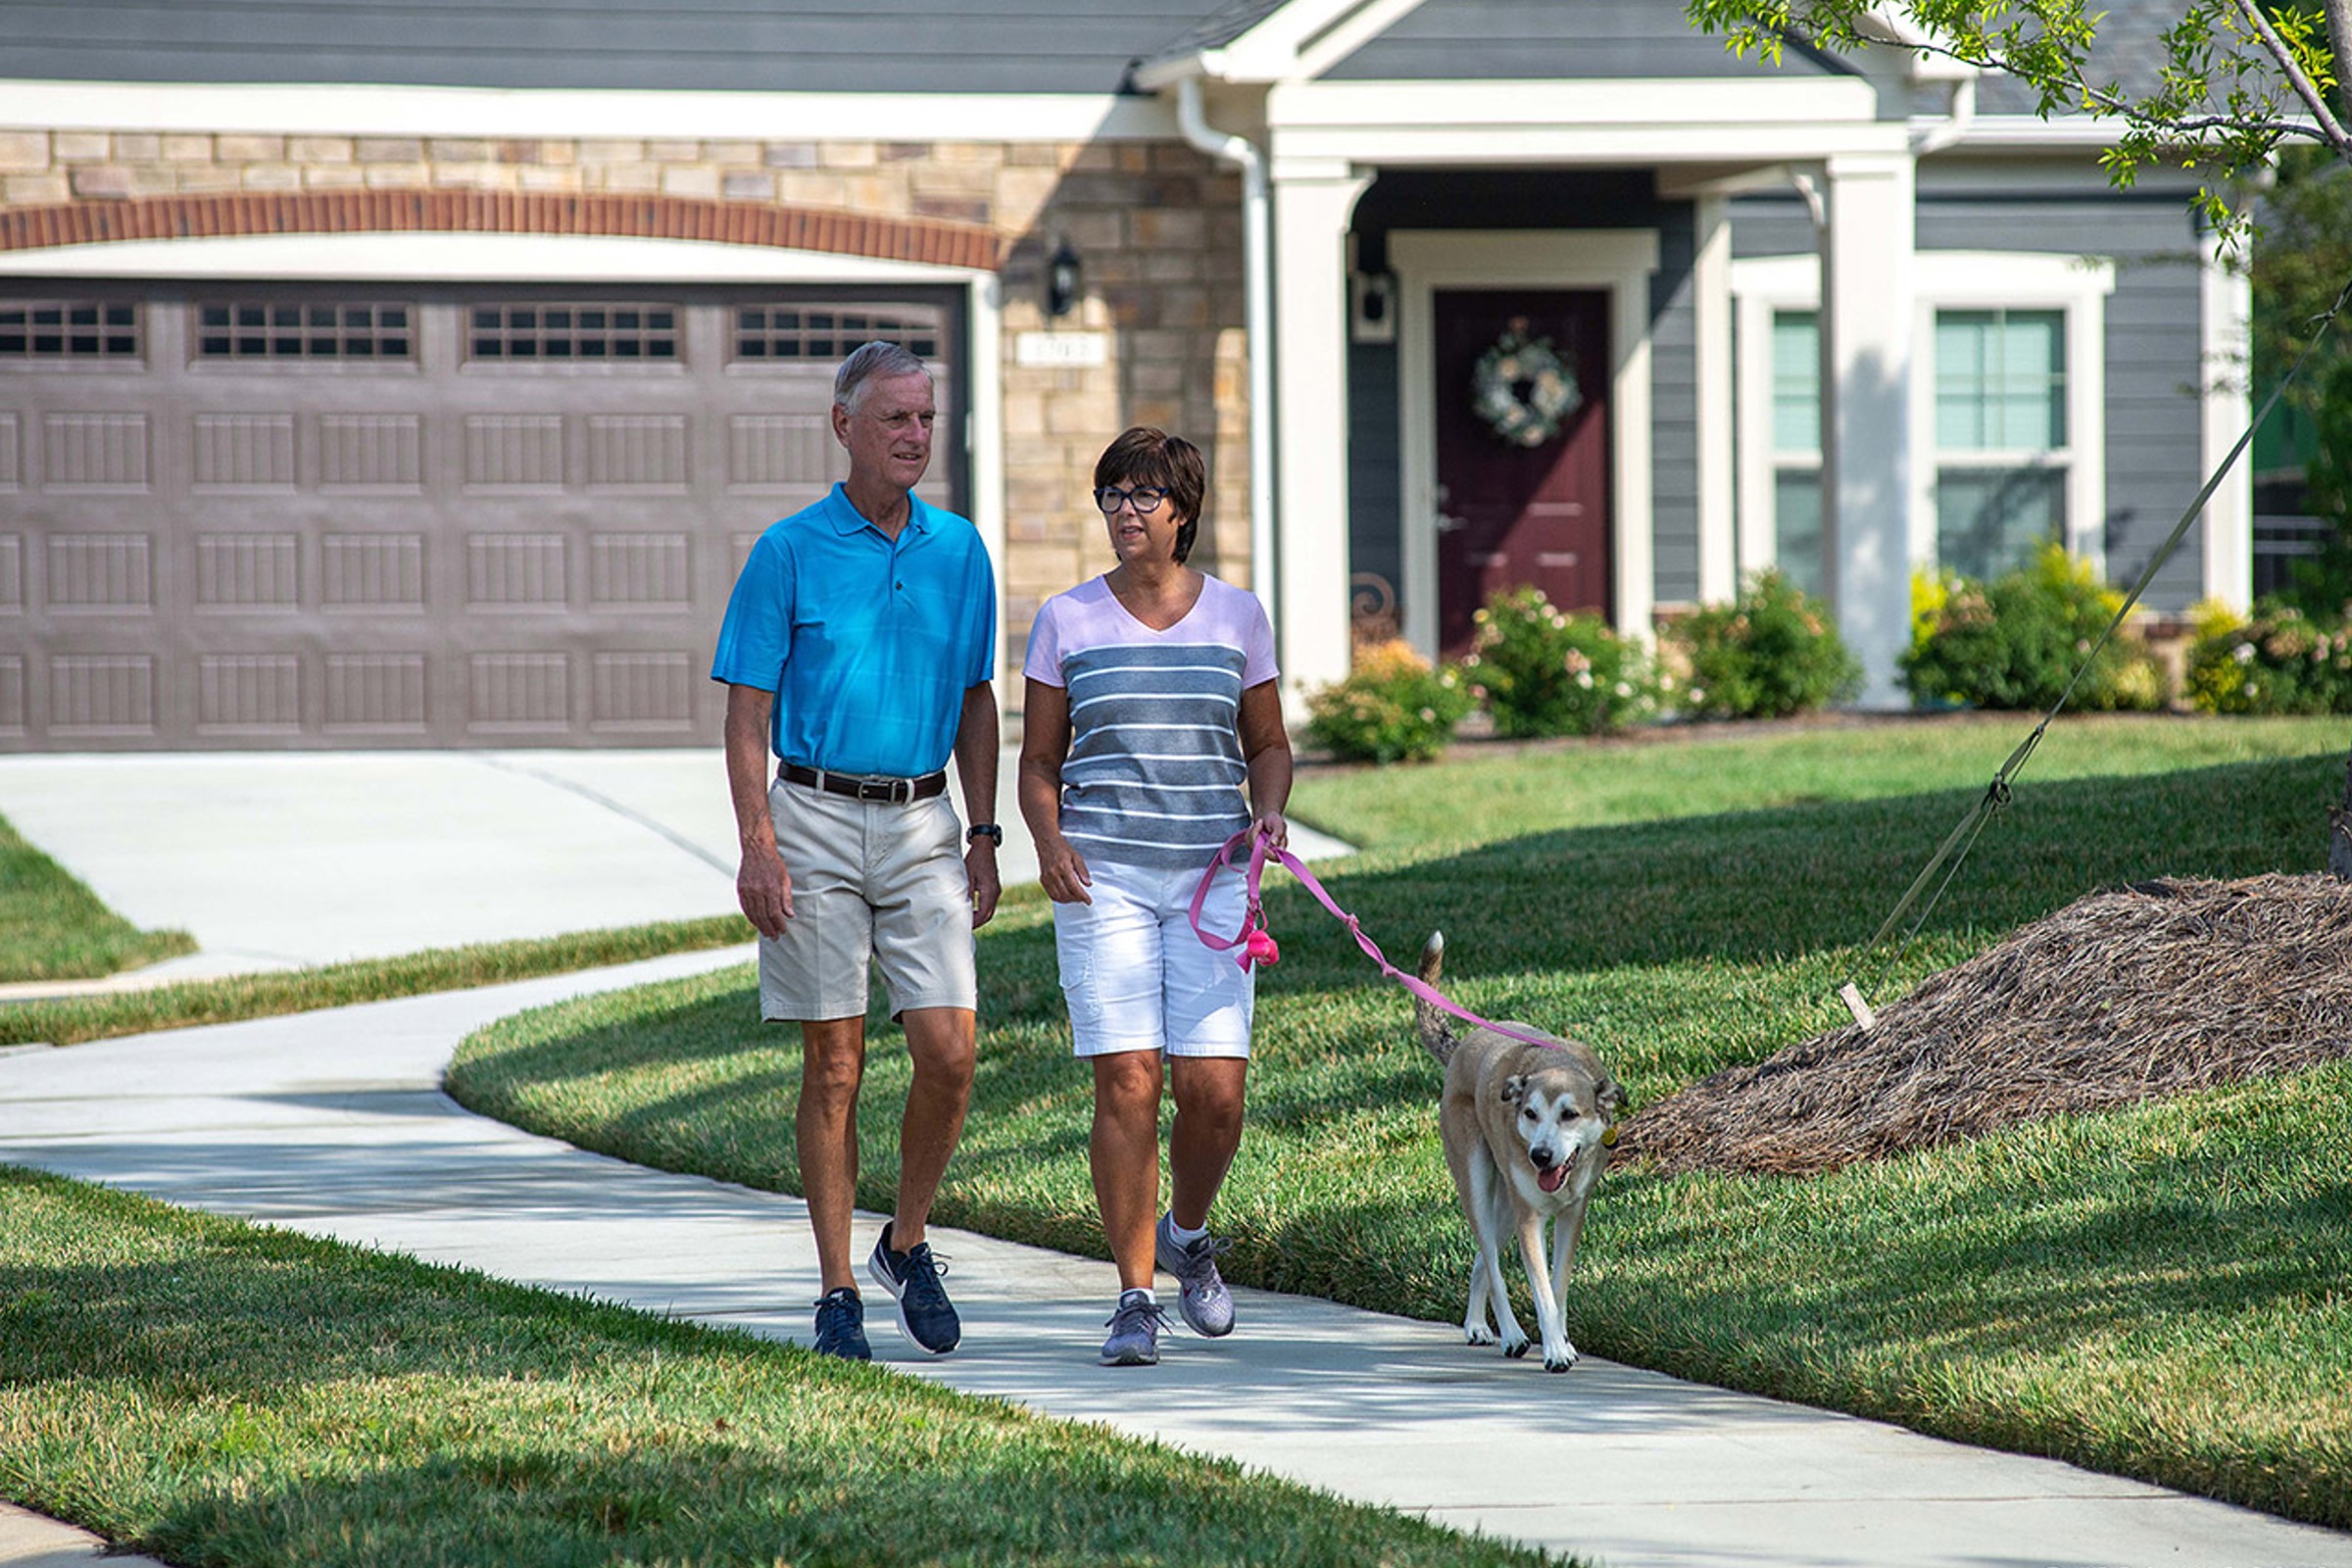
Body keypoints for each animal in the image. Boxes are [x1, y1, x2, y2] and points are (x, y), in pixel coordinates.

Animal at [1411, 930, 1618, 1372]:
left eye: (1570, 1115)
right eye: (1530, 1112)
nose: (1540, 1156)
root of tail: (1462, 1049)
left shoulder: (1571, 1215)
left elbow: (1557, 1287)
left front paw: (1562, 1341)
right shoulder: (1530, 1220)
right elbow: (1540, 1290)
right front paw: (1554, 1350)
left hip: (1506, 1207)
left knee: (1480, 1260)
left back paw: (1477, 1325)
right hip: (1476, 1182)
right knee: (1491, 1263)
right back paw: (1507, 1333)